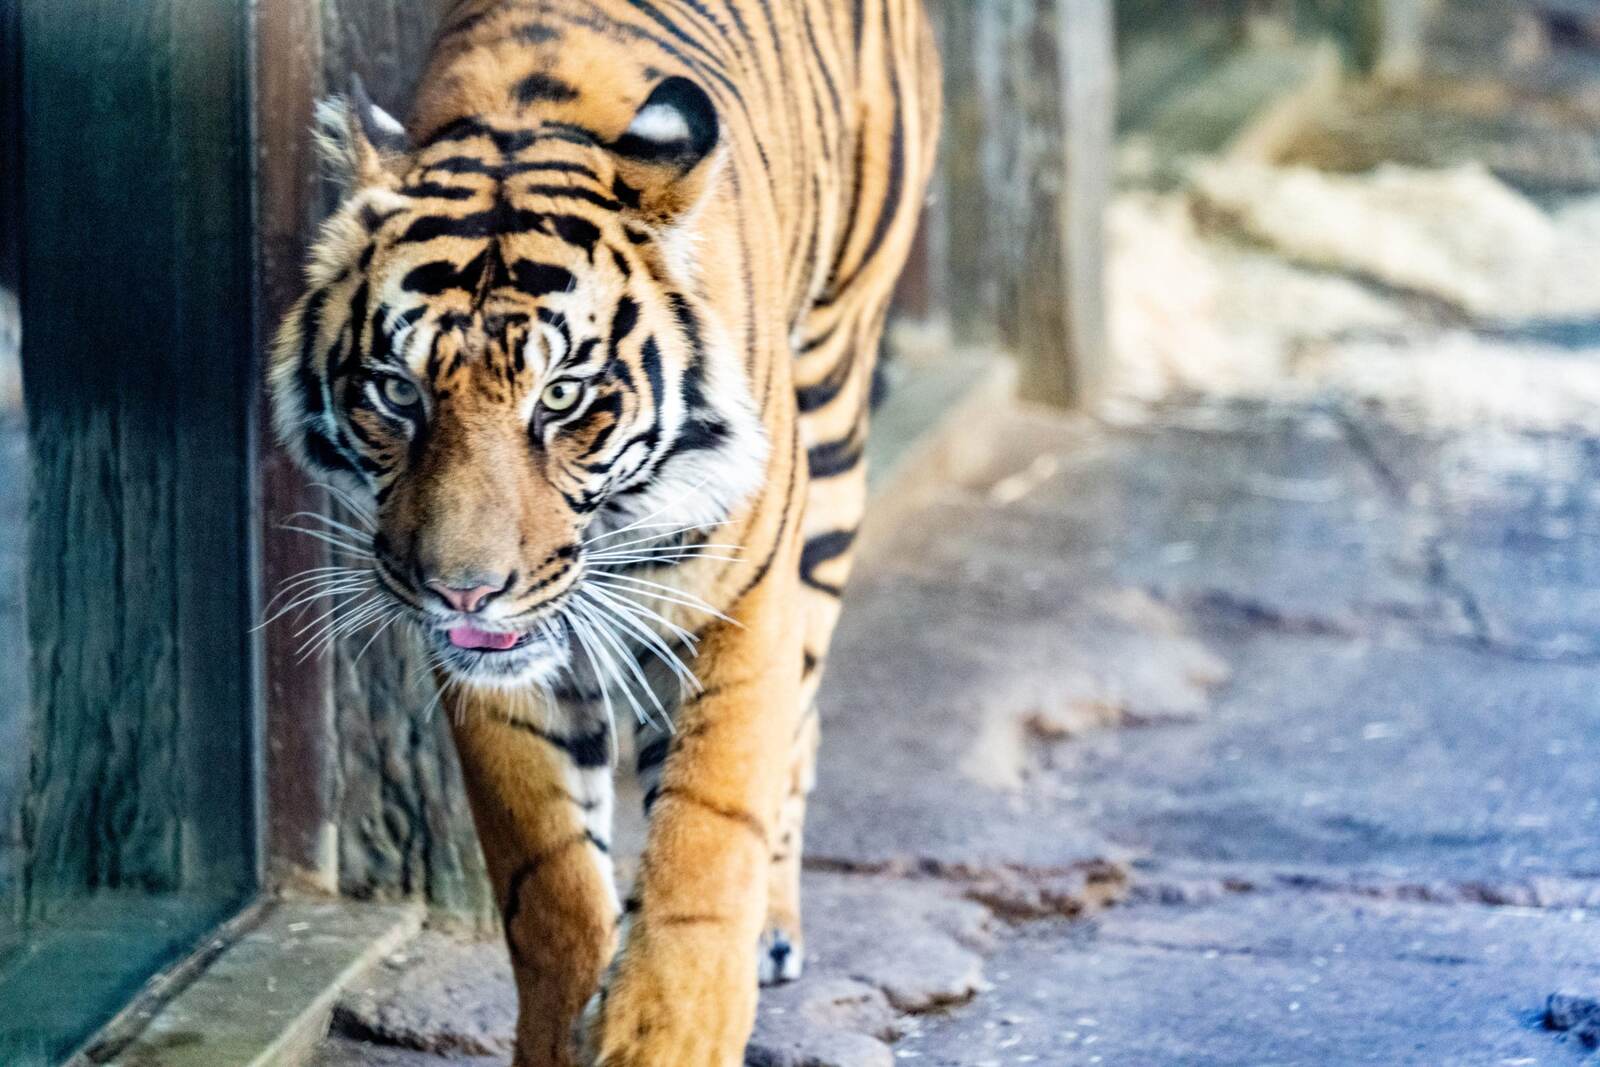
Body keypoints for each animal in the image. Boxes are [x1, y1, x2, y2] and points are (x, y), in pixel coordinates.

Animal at [268, 1, 940, 1063]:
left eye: (563, 396)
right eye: (398, 392)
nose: (461, 587)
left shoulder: (740, 600)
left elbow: (706, 848)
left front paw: (669, 1028)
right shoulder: (497, 670)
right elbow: (551, 884)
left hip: (836, 401)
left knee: (803, 712)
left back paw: (775, 924)